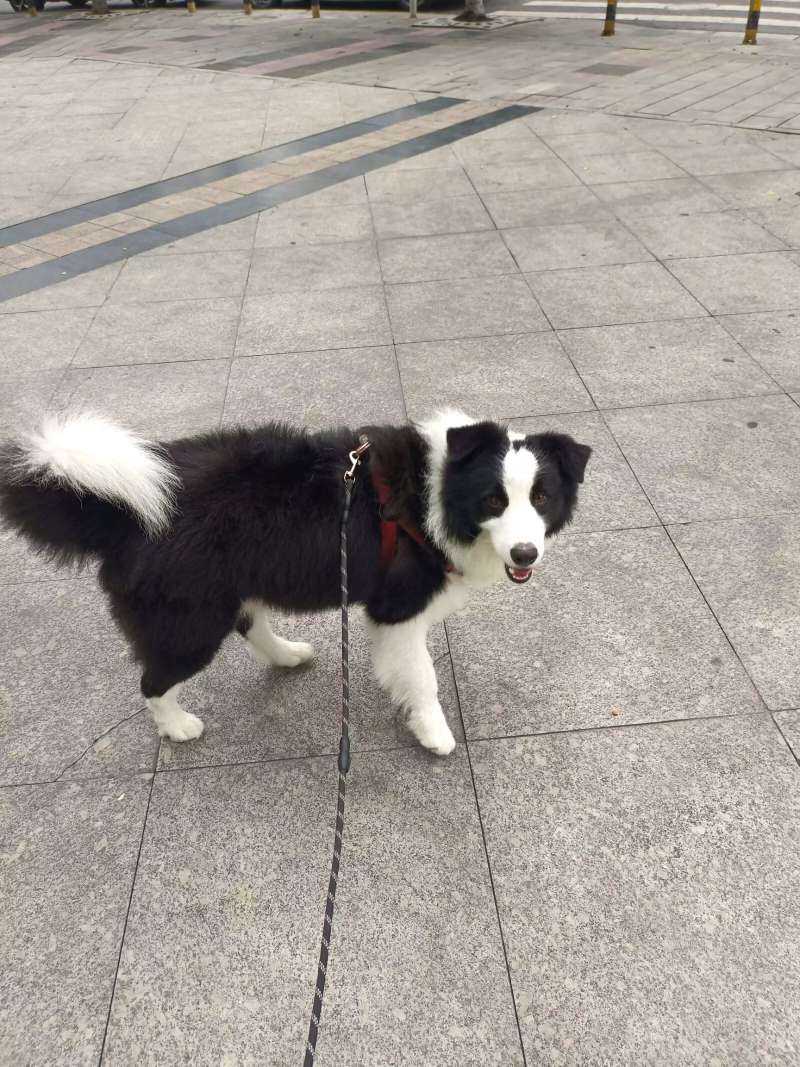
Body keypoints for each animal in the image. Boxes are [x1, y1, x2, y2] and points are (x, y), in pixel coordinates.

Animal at [0, 410, 590, 755]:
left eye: (541, 498)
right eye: (495, 500)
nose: (526, 553)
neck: (434, 492)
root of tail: (121, 513)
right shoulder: (398, 609)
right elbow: (423, 678)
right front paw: (435, 733)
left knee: (250, 623)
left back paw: (287, 655)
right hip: (191, 620)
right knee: (154, 679)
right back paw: (178, 726)